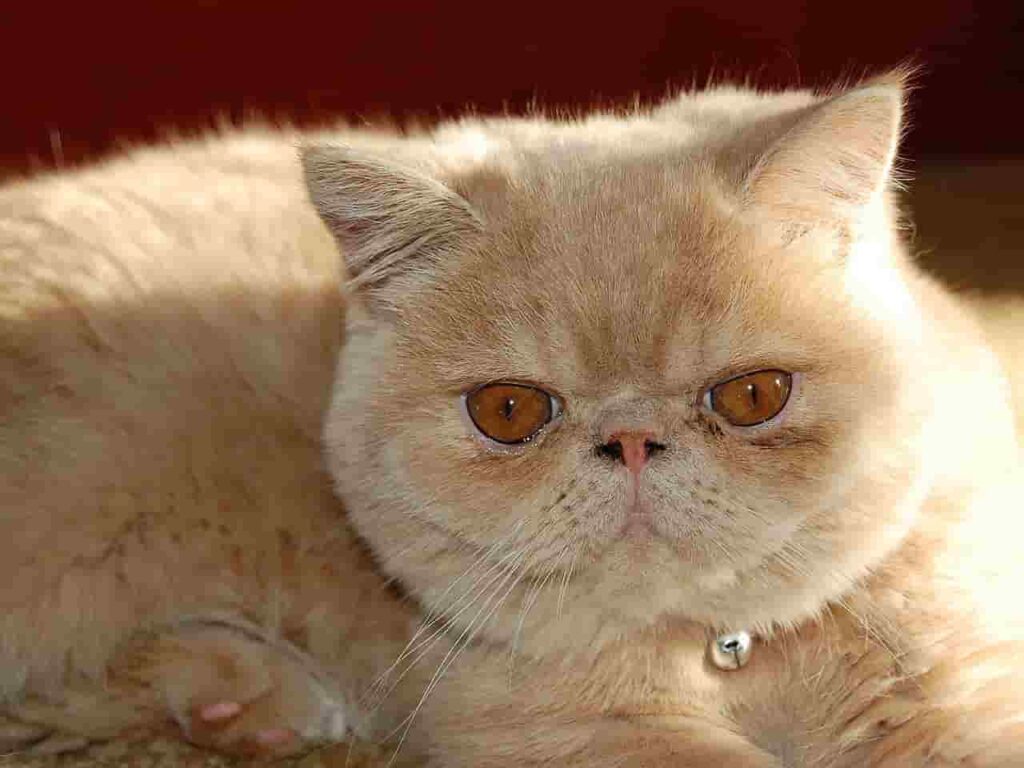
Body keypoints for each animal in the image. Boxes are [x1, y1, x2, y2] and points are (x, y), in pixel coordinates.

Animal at [2, 69, 1024, 765]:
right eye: (508, 410)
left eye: (751, 397)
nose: (631, 440)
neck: (720, 650)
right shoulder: (564, 727)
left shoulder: (955, 685)